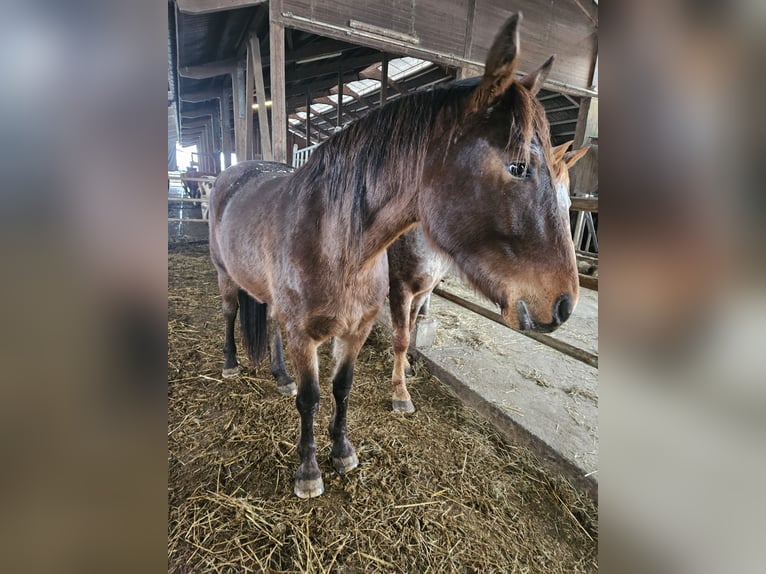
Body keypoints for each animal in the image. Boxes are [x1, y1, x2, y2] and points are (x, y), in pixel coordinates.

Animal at [388, 140, 592, 414]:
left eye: (568, 204)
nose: (563, 306)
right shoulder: (400, 287)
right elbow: (400, 338)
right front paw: (400, 394)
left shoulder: (422, 291)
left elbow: (409, 329)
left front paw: (406, 368)